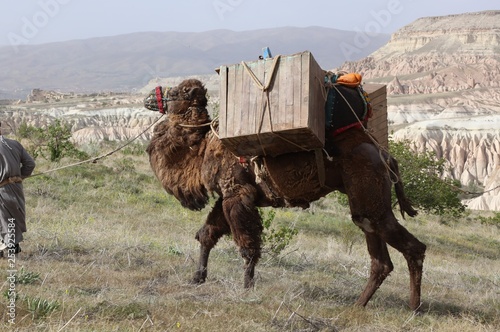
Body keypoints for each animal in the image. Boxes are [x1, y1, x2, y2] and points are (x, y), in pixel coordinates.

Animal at [146, 78, 428, 312]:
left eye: (176, 93)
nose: (151, 97)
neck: (202, 147)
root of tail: (386, 156)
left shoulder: (237, 192)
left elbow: (247, 245)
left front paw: (247, 288)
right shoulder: (227, 195)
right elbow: (207, 234)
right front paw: (197, 278)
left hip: (370, 192)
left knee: (413, 247)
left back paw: (413, 308)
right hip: (365, 203)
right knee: (379, 256)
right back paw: (359, 304)